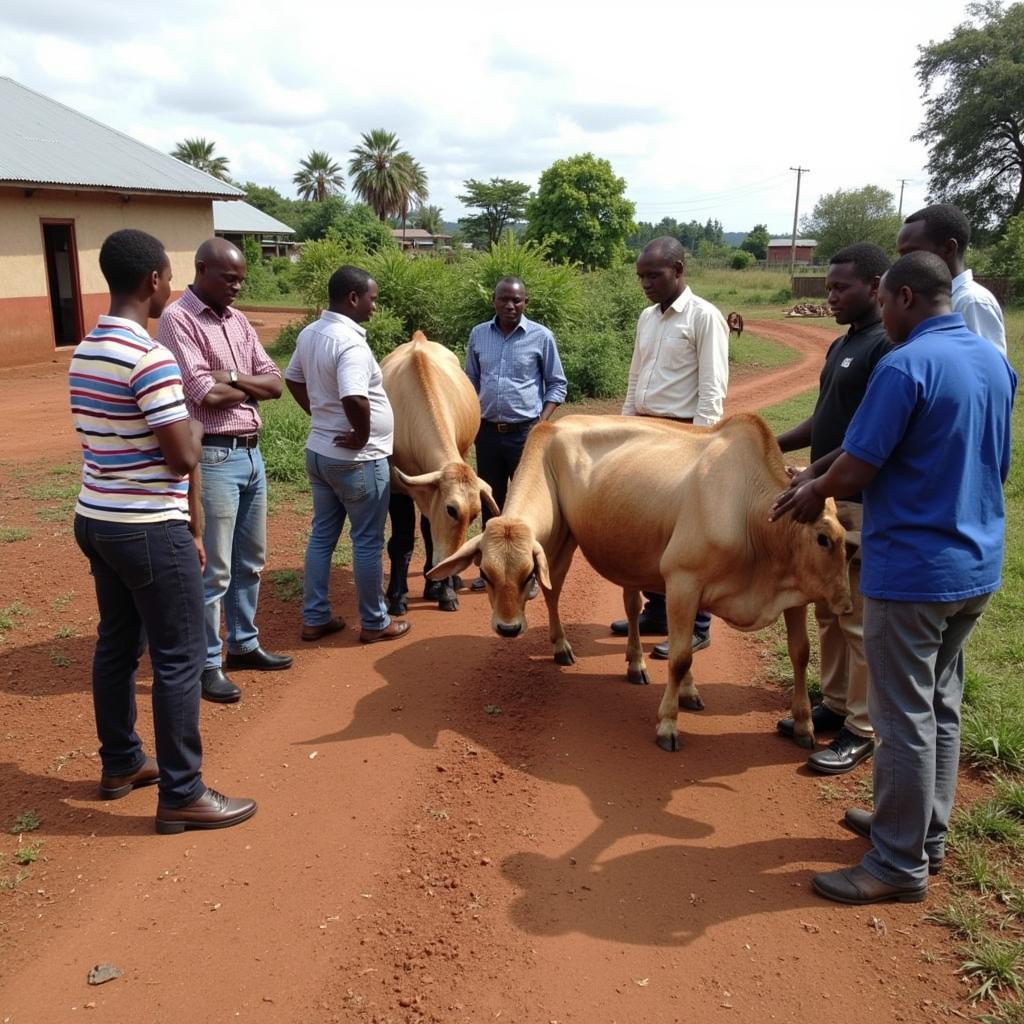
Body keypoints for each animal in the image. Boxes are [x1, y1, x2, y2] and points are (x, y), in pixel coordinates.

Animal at [382, 331, 497, 610]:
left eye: (476, 514)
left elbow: (431, 537)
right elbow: (401, 541)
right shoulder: (396, 487)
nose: (451, 567)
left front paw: (445, 589)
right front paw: (397, 597)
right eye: (451, 509)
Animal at [428, 413, 851, 753]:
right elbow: (680, 657)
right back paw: (563, 647)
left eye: (843, 539)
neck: (750, 513)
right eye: (485, 574)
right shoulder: (683, 581)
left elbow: (800, 653)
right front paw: (668, 724)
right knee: (555, 592)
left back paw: (638, 664)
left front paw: (803, 724)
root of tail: (555, 425)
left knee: (631, 607)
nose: (846, 604)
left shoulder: (791, 593)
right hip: (562, 536)